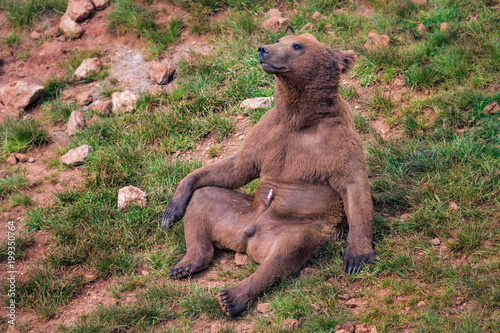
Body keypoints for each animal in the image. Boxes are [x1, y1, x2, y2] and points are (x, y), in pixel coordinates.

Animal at [163, 34, 376, 316]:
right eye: (280, 39)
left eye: (297, 45)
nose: (263, 49)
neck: (299, 119)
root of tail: (247, 239)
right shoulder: (268, 131)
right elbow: (237, 166)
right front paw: (171, 210)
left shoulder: (335, 140)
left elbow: (354, 187)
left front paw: (357, 257)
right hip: (235, 216)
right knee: (205, 199)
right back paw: (185, 264)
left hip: (300, 228)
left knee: (287, 249)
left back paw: (231, 297)